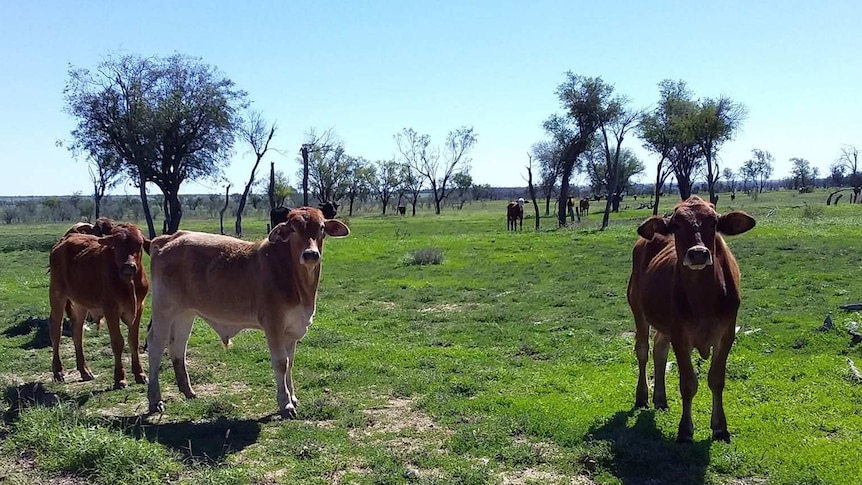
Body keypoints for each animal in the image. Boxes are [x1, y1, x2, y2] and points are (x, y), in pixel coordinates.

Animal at [49, 221, 151, 388]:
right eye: (116, 244)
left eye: (140, 244)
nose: (128, 266)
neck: (129, 283)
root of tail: (65, 239)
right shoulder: (111, 309)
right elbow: (118, 342)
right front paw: (120, 378)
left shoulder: (139, 307)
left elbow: (133, 341)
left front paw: (140, 374)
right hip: (57, 295)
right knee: (56, 330)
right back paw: (58, 372)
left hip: (81, 302)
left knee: (77, 331)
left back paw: (85, 371)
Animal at [146, 205, 352, 416]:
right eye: (293, 229)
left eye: (321, 228)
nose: (310, 254)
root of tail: (169, 238)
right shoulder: (274, 325)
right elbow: (281, 363)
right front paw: (285, 403)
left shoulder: (292, 328)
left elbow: (290, 363)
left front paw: (293, 398)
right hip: (164, 310)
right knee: (156, 346)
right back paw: (155, 400)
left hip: (184, 313)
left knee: (178, 345)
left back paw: (188, 391)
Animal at [628, 197, 756, 442]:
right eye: (677, 225)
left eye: (714, 223)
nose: (698, 253)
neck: (704, 300)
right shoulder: (680, 335)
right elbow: (688, 383)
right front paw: (685, 430)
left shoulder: (726, 334)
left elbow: (716, 379)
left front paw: (720, 428)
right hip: (638, 310)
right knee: (643, 351)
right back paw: (642, 396)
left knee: (659, 349)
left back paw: (660, 399)